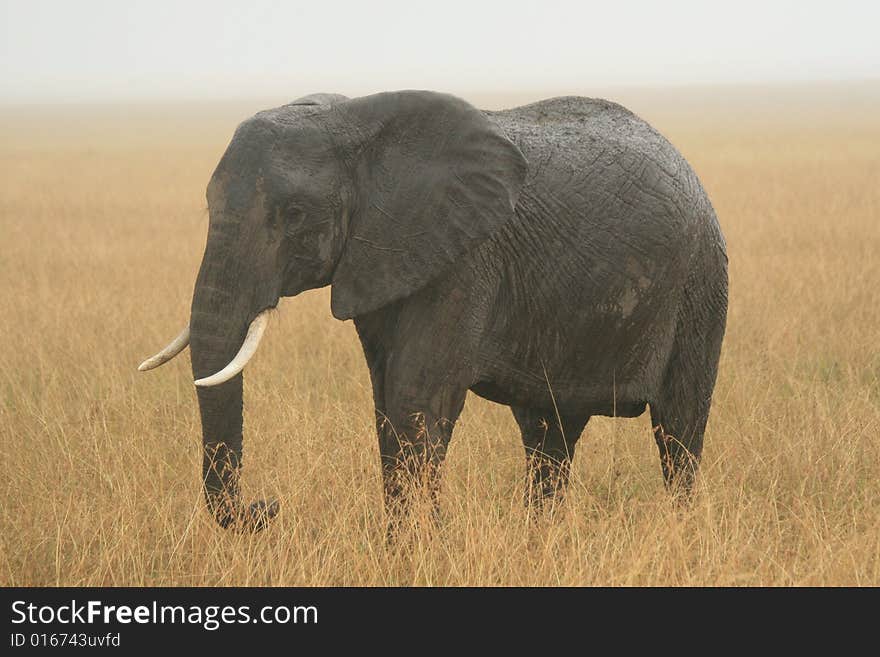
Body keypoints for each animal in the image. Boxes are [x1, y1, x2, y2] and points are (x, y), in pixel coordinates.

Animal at [139, 91, 728, 532]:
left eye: (296, 213)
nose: (267, 507)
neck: (355, 125)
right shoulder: (381, 258)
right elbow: (386, 400)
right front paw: (409, 541)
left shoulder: (465, 258)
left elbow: (415, 397)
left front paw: (420, 544)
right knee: (548, 435)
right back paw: (541, 536)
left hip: (702, 282)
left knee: (678, 432)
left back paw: (676, 530)